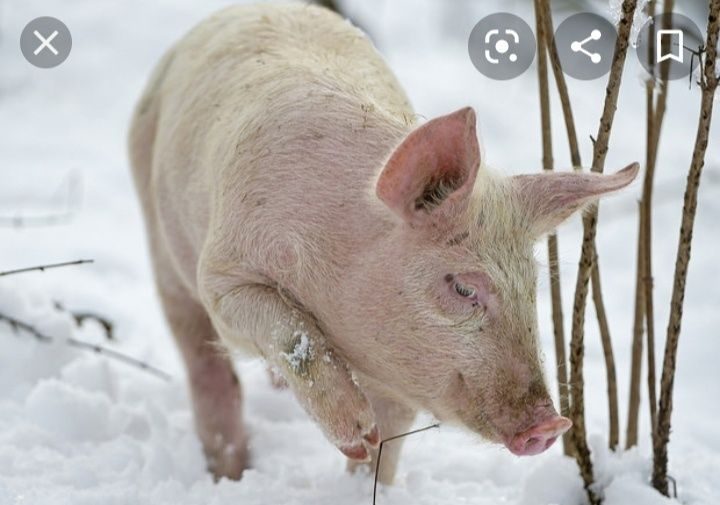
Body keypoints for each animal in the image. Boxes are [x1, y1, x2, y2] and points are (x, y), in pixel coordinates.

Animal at [126, 2, 640, 484]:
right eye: (463, 288)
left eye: (532, 285)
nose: (551, 425)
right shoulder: (225, 273)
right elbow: (294, 337)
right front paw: (359, 436)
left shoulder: (399, 372)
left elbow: (389, 441)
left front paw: (365, 468)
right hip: (157, 228)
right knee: (203, 362)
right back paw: (227, 474)